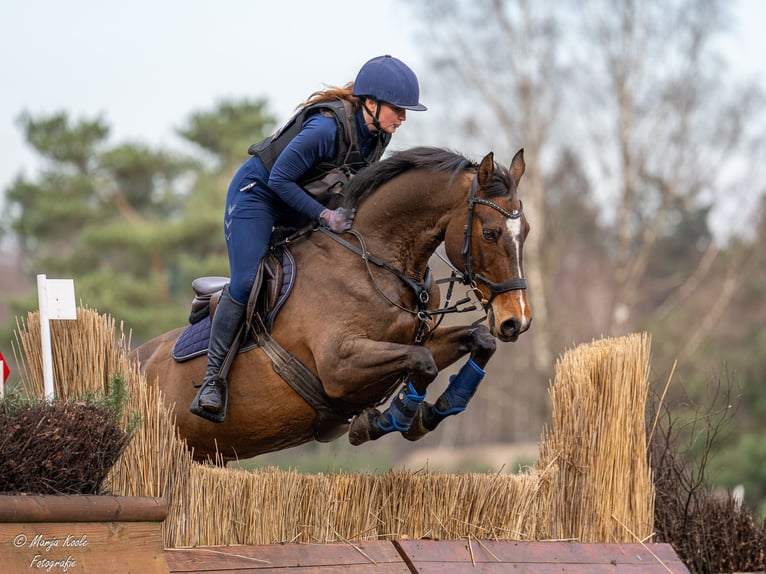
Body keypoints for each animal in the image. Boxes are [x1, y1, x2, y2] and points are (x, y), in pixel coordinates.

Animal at [132, 148, 536, 464]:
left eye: (527, 231)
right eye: (489, 233)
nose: (516, 321)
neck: (374, 262)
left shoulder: (415, 340)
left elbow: (479, 342)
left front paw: (432, 412)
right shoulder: (339, 366)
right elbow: (422, 363)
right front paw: (389, 419)